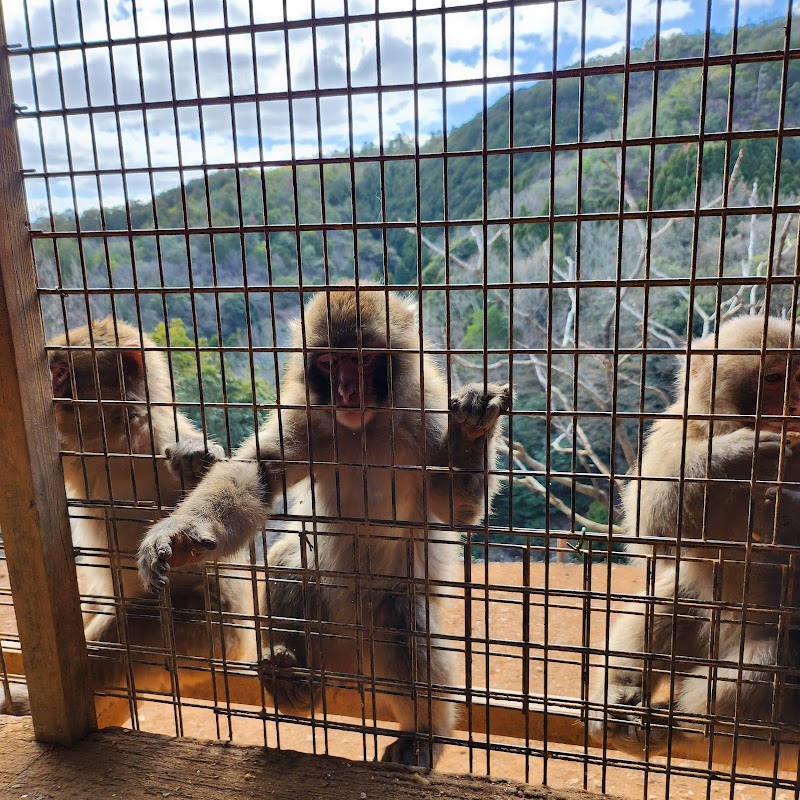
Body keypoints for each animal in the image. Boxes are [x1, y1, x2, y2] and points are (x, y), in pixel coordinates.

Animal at [0, 317, 251, 716]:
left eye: (60, 372)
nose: (50, 392)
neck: (113, 433)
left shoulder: (158, 437)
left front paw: (195, 461)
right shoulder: (67, 446)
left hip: (201, 632)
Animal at [138, 289, 510, 767]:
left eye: (364, 359)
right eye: (330, 363)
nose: (346, 393)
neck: (366, 427)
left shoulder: (425, 411)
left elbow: (454, 508)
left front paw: (471, 430)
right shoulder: (308, 417)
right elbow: (261, 472)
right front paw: (181, 536)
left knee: (400, 613)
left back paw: (424, 736)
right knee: (290, 564)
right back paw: (292, 683)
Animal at [590, 314, 800, 757]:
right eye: (775, 378)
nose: (794, 405)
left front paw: (782, 512)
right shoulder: (682, 427)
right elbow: (651, 527)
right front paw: (738, 453)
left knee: (770, 658)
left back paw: (686, 725)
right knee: (676, 595)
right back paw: (619, 695)